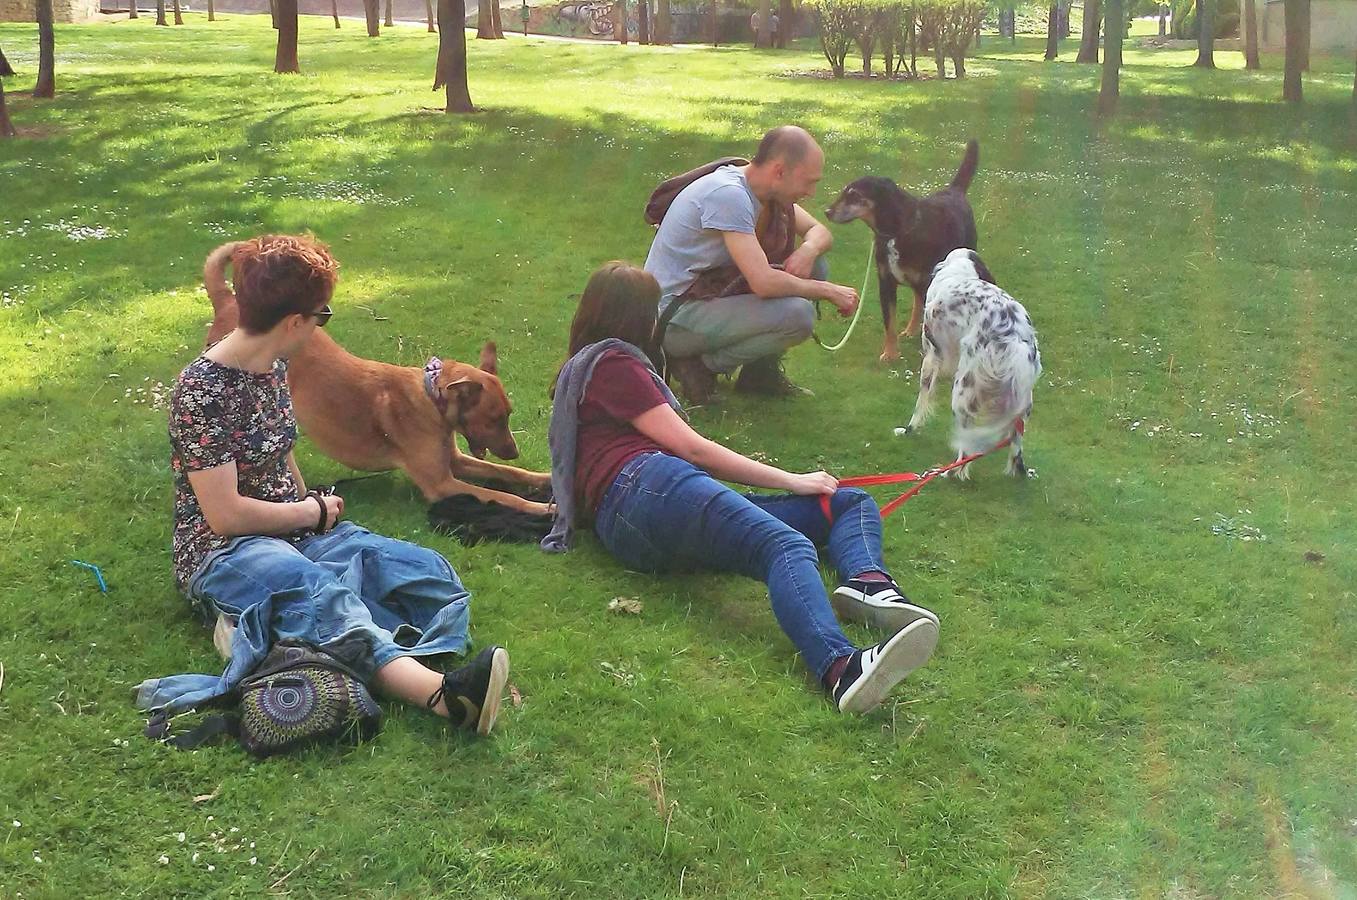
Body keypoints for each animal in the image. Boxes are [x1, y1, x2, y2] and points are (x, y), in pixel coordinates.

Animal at [200, 242, 550, 518]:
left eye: (508, 416)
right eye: (493, 419)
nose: (515, 450)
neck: (431, 399)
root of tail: (228, 300)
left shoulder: (457, 462)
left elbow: (507, 473)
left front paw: (543, 478)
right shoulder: (442, 483)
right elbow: (503, 496)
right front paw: (542, 507)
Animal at [819, 139, 982, 361]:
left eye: (854, 195)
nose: (827, 212)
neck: (895, 233)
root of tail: (954, 190)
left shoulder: (924, 282)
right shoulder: (886, 283)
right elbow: (890, 323)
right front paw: (890, 353)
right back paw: (910, 330)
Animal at [901, 249, 1036, 477]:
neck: (959, 272)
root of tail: (1015, 338)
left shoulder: (931, 356)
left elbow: (921, 402)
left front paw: (909, 430)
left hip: (963, 390)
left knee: (965, 449)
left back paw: (948, 473)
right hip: (1022, 402)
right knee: (1016, 448)